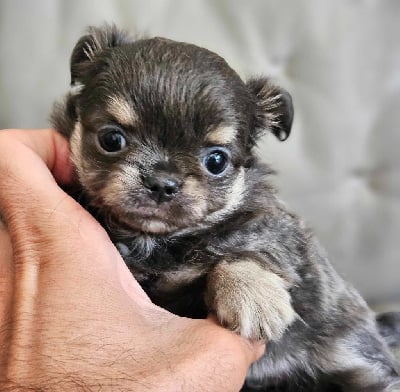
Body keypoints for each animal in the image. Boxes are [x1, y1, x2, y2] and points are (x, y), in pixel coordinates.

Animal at [52, 26, 400, 390]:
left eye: (216, 161)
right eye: (111, 140)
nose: (162, 182)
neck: (155, 241)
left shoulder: (272, 226)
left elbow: (244, 248)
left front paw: (252, 294)